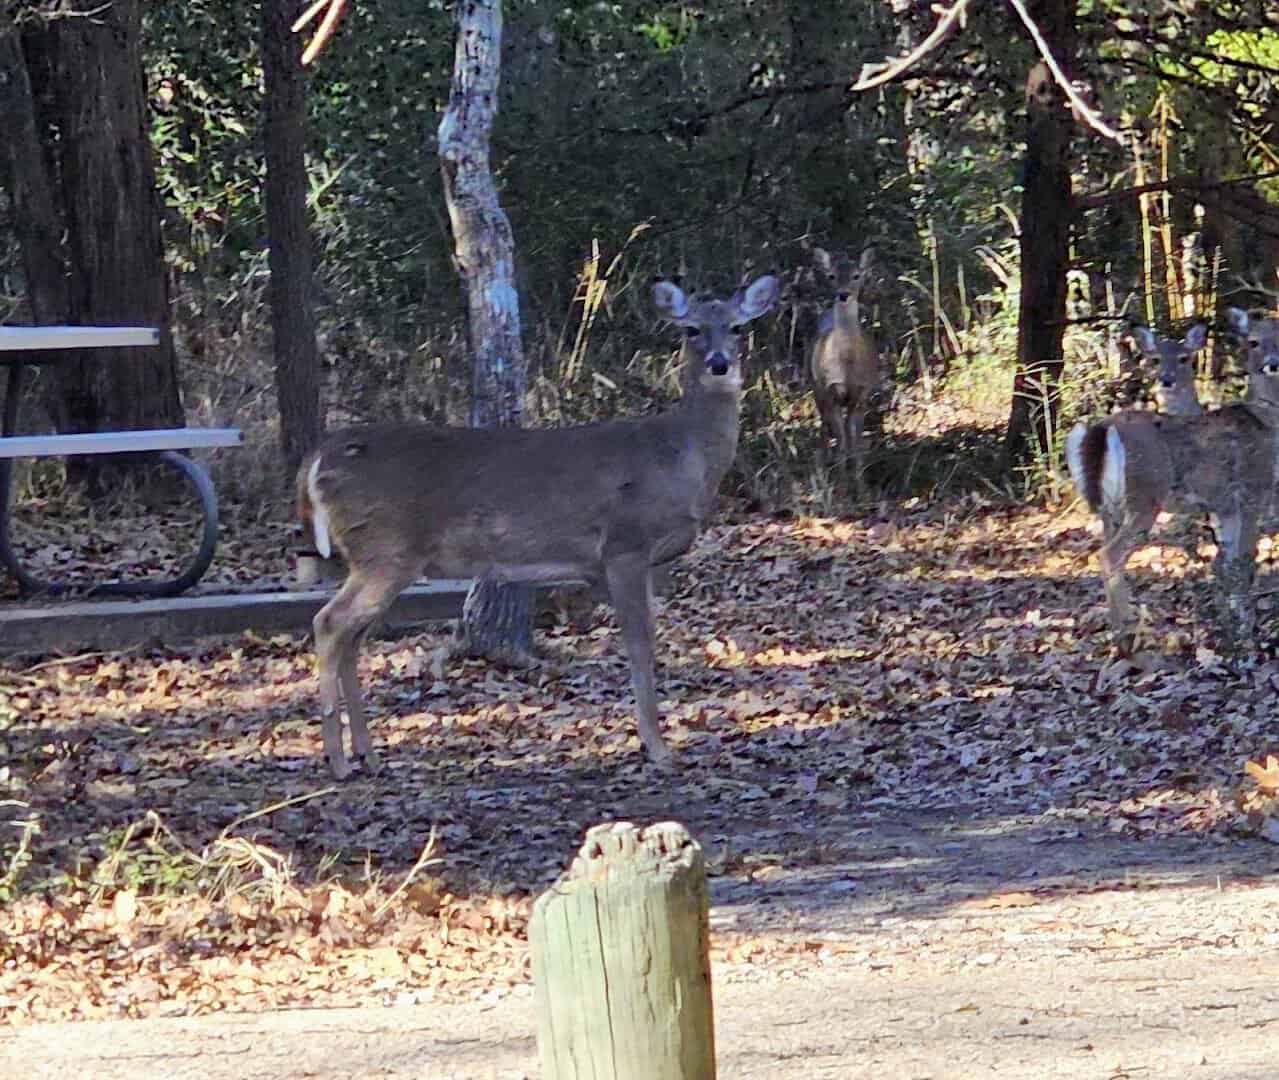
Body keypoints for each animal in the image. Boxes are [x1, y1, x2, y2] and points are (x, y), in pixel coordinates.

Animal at [296, 272, 780, 779]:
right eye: (691, 330)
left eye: (739, 327)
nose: (720, 364)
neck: (680, 456)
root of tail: (318, 459)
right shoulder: (624, 544)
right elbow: (640, 645)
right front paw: (658, 749)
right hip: (384, 549)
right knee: (329, 623)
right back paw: (338, 761)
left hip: (378, 557)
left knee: (351, 636)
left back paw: (367, 753)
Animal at [810, 246, 880, 498]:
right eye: (831, 276)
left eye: (857, 275)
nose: (843, 294)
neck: (847, 366)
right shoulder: (830, 390)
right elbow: (840, 438)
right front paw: (841, 488)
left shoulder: (861, 392)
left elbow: (854, 439)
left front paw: (861, 488)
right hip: (816, 387)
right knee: (823, 426)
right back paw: (823, 464)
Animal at [1066, 309, 1279, 651]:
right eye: (1253, 341)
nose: (1272, 363)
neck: (1267, 422)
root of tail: (1101, 429)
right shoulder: (1251, 493)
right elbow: (1245, 563)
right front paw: (1246, 634)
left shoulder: (1226, 507)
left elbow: (1229, 564)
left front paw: (1234, 624)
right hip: (1145, 495)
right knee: (1110, 554)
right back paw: (1129, 636)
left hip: (1108, 507)